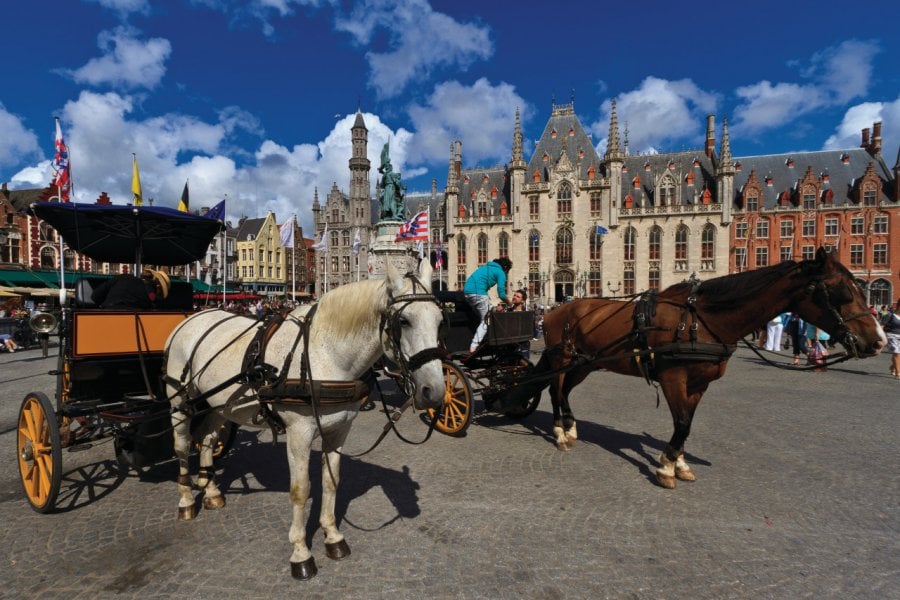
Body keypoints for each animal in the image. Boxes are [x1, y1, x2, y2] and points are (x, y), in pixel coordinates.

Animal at [163, 260, 444, 580]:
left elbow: (331, 482)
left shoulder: (339, 430)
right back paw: (187, 501)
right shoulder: (299, 432)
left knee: (208, 440)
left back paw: (211, 492)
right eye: (405, 321)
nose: (435, 391)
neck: (326, 352)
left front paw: (333, 538)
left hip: (217, 405)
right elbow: (300, 491)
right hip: (181, 402)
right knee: (183, 445)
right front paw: (300, 553)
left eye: (440, 321)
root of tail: (191, 318)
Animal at [524, 248, 884, 488]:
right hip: (563, 358)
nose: (878, 340)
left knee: (563, 391)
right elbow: (681, 422)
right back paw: (560, 432)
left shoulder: (700, 384)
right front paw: (665, 467)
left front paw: (679, 463)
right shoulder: (673, 377)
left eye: (860, 287)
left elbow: (687, 424)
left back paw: (570, 428)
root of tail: (558, 308)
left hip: (586, 363)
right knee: (555, 389)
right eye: (840, 292)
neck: (704, 319)